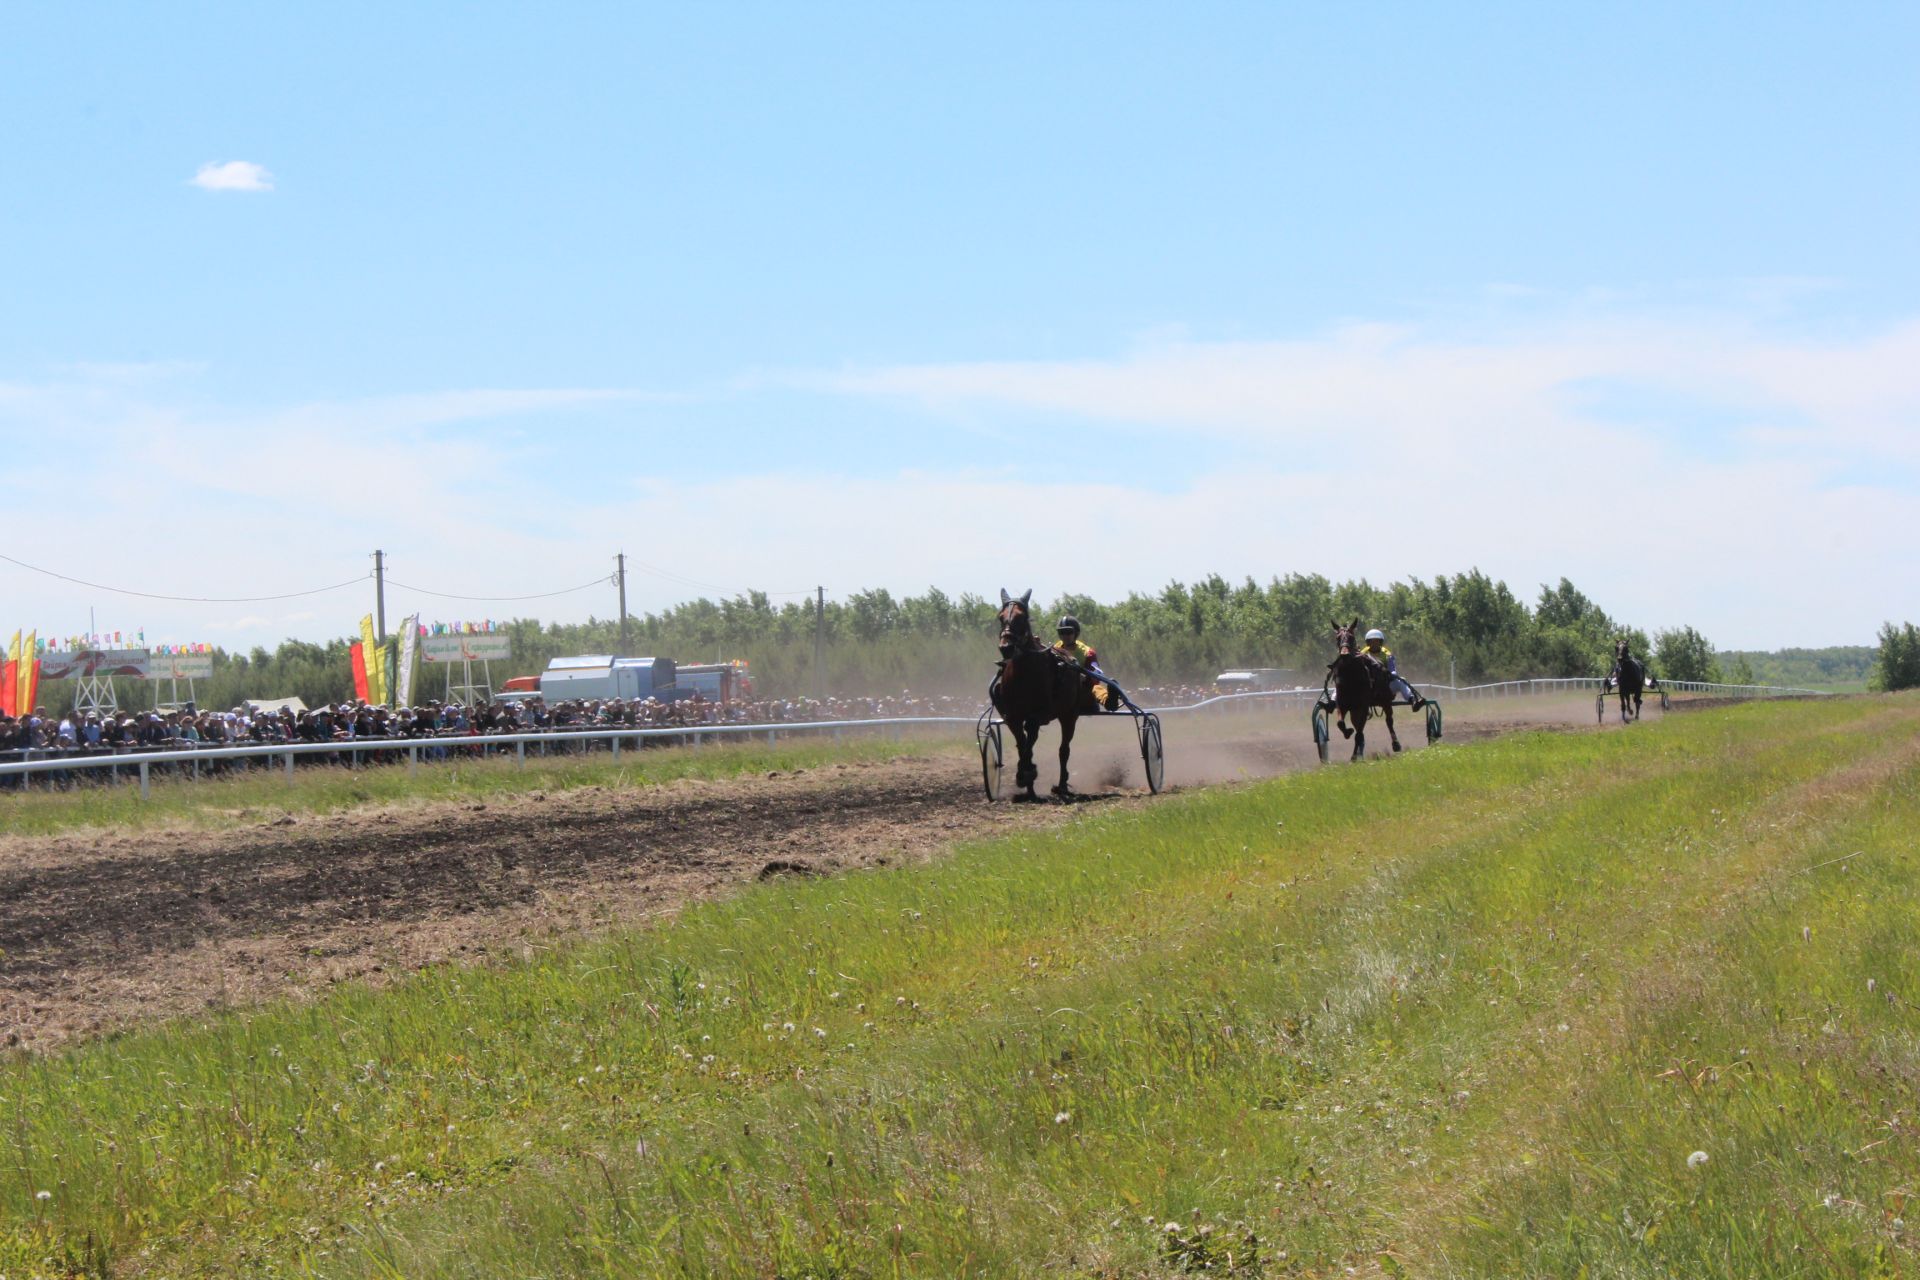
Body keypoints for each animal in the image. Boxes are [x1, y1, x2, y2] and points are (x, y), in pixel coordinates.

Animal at [990, 591, 1098, 802]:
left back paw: (1062, 785)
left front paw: (1027, 773)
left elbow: (1029, 742)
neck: (1023, 675)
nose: (1006, 647)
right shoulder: (1012, 717)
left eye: (1021, 617)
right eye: (1000, 617)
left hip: (1069, 715)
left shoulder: (1036, 716)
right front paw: (1026, 778)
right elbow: (1022, 744)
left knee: (1064, 750)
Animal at [1328, 621, 1405, 759]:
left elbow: (1358, 734)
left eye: (1351, 637)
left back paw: (1395, 744)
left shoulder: (1363, 706)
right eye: (1337, 638)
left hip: (1385, 701)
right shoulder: (1342, 704)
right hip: (1355, 710)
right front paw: (1348, 732)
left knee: (1389, 721)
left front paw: (1354, 757)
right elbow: (1341, 723)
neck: (1351, 678)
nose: (1344, 654)